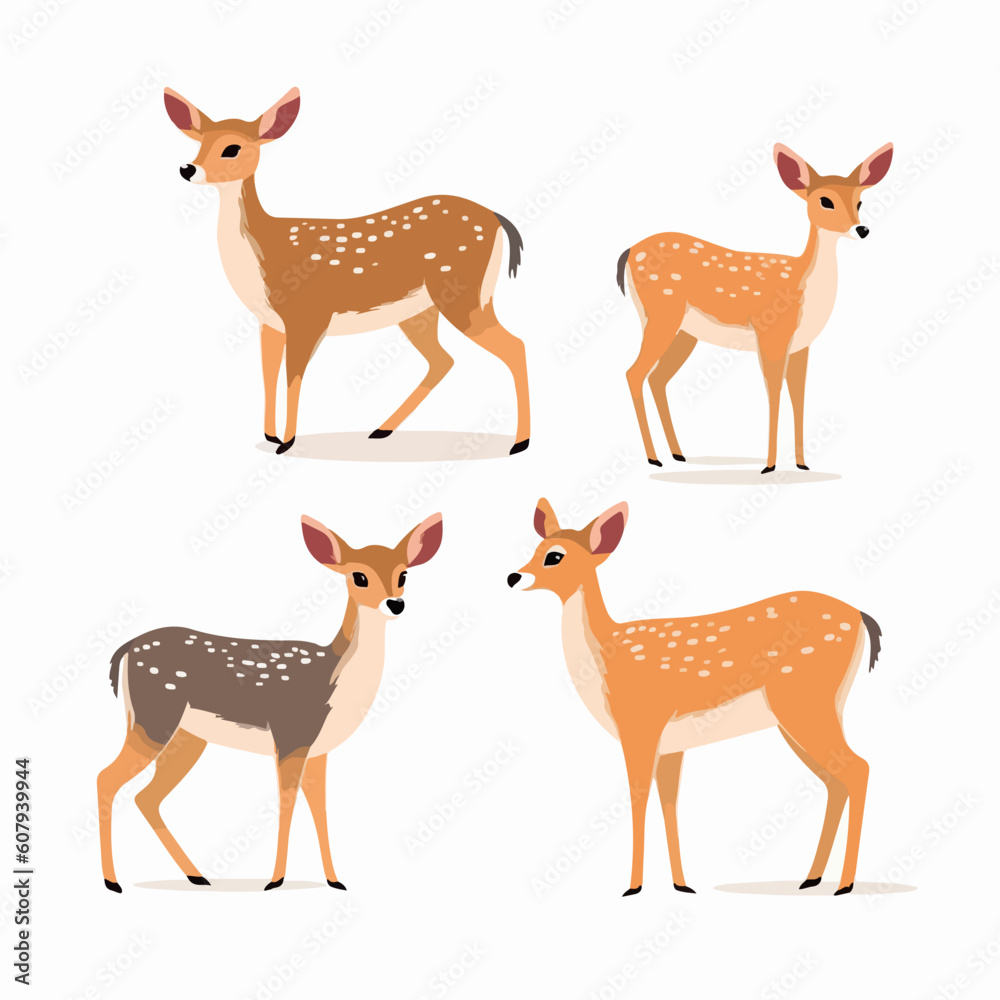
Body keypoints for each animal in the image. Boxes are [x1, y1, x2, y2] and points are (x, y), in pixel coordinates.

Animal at [97, 512, 442, 893]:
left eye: (403, 575)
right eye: (359, 576)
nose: (395, 604)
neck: (334, 683)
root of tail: (125, 650)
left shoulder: (318, 749)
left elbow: (320, 808)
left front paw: (335, 880)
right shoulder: (291, 735)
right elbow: (287, 803)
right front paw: (275, 880)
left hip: (187, 737)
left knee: (146, 797)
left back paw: (197, 876)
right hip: (155, 716)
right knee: (106, 779)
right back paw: (112, 882)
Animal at [163, 87, 530, 456]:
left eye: (232, 148)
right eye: (199, 142)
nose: (187, 168)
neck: (265, 254)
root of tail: (497, 218)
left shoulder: (307, 316)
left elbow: (293, 375)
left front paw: (287, 442)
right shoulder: (269, 322)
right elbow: (268, 373)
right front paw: (270, 436)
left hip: (462, 291)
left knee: (514, 346)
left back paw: (520, 443)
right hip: (421, 310)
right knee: (443, 361)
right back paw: (381, 430)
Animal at [508, 499, 882, 897]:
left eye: (555, 556)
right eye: (535, 549)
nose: (514, 577)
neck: (605, 661)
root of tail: (862, 617)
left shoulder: (640, 723)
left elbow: (638, 796)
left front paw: (633, 887)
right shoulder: (672, 743)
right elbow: (669, 801)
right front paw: (680, 885)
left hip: (803, 700)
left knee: (858, 769)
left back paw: (845, 884)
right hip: (810, 710)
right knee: (834, 781)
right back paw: (811, 879)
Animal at [617, 141, 893, 473]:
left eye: (860, 201)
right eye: (825, 200)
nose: (861, 229)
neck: (804, 289)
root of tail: (628, 252)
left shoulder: (801, 345)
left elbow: (798, 394)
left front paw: (802, 464)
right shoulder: (772, 333)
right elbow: (774, 391)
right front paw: (770, 466)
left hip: (684, 331)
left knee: (657, 378)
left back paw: (678, 454)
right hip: (662, 312)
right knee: (634, 373)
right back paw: (653, 458)